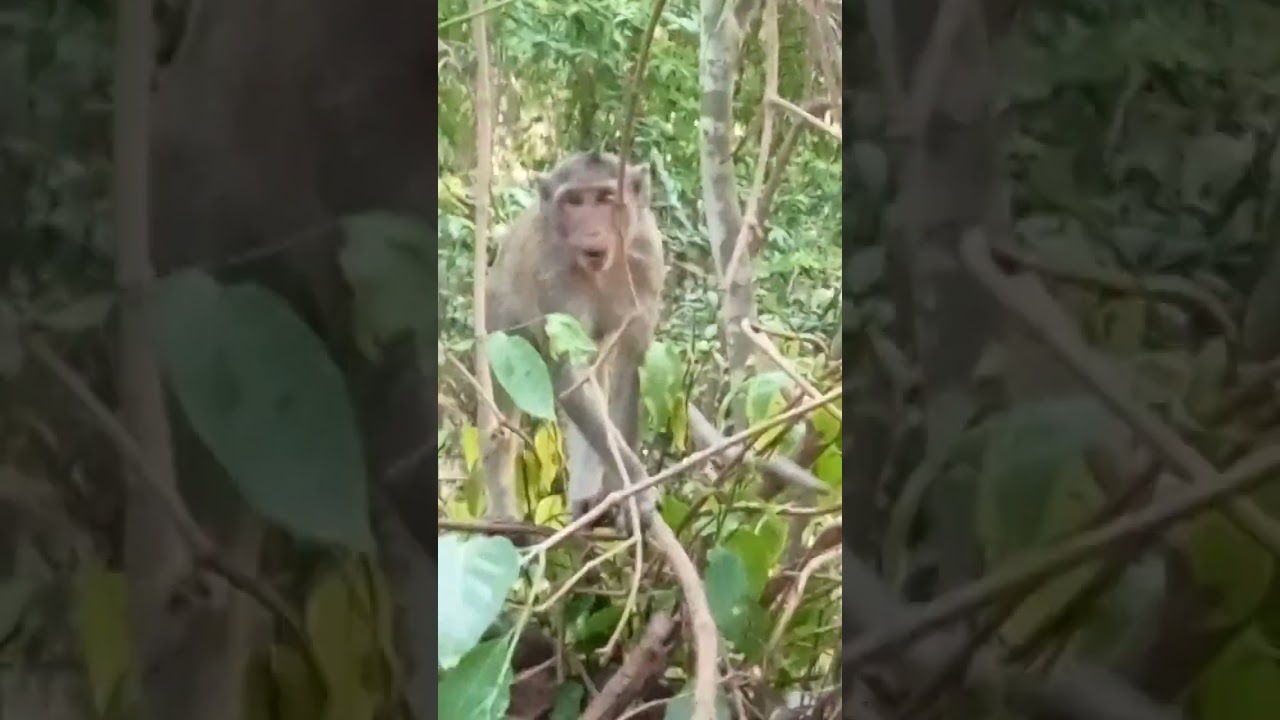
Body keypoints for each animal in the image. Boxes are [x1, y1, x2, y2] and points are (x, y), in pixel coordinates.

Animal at [483, 151, 666, 527]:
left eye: (606, 198)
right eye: (574, 201)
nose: (592, 230)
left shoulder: (647, 257)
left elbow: (628, 367)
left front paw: (623, 493)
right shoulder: (551, 276)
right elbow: (570, 377)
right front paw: (636, 486)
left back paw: (587, 499)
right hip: (499, 315)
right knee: (505, 417)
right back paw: (504, 512)